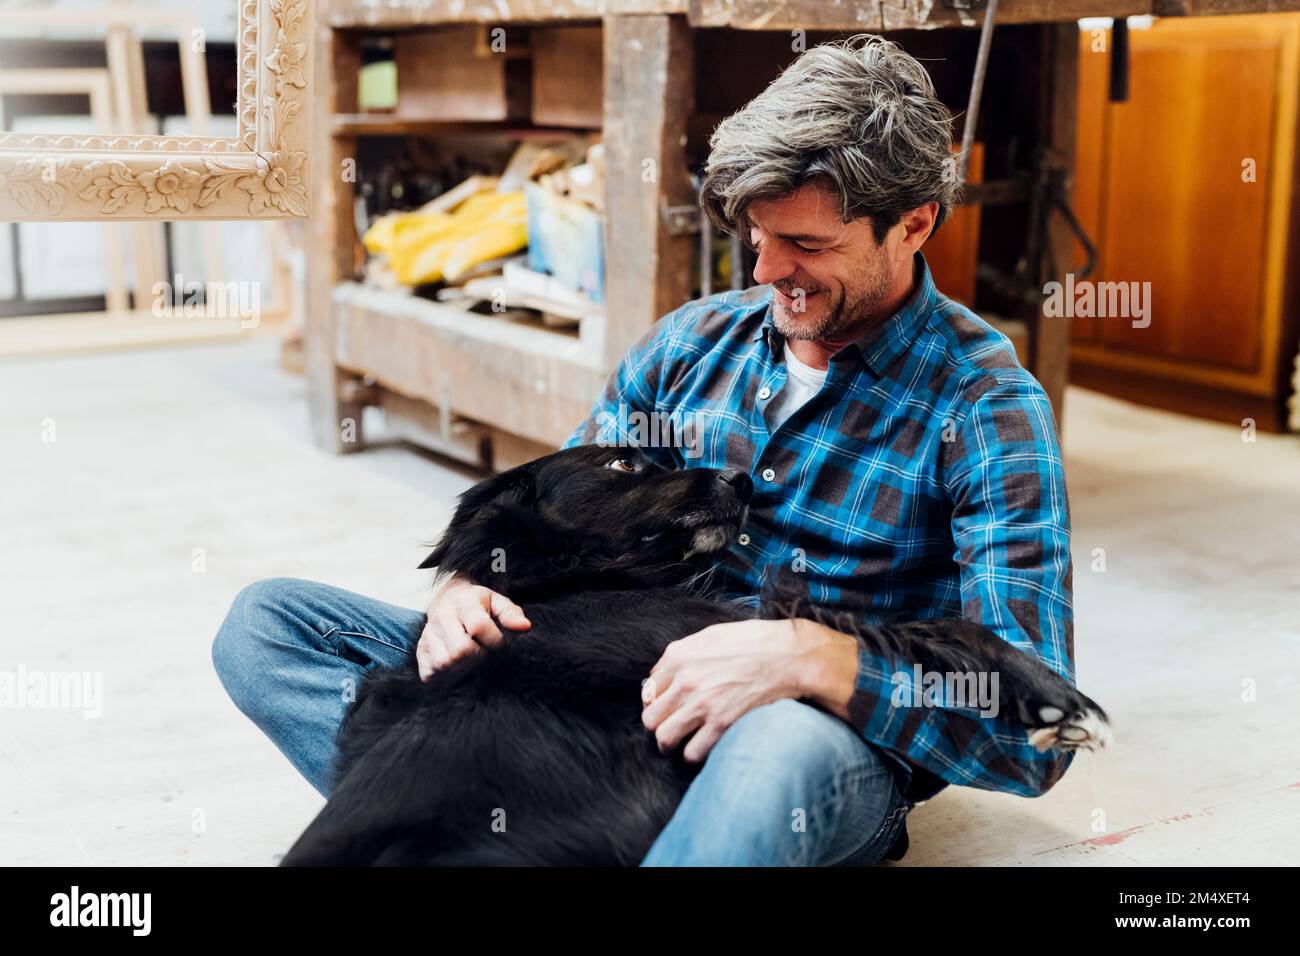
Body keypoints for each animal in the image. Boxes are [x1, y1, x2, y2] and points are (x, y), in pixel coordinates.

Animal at [282, 444, 1107, 868]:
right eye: (622, 466)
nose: (743, 481)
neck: (571, 580)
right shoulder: (702, 635)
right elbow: (911, 622)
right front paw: (1045, 693)